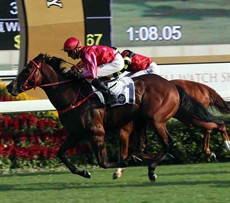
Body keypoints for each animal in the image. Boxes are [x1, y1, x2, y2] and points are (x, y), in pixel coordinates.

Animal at [6, 53, 223, 182]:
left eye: (27, 70)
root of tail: (171, 84)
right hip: (145, 120)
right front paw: (84, 171)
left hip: (156, 119)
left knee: (169, 141)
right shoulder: (76, 133)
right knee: (146, 144)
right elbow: (60, 153)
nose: (10, 86)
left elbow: (103, 161)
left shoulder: (97, 132)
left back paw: (152, 168)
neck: (72, 95)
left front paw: (122, 165)